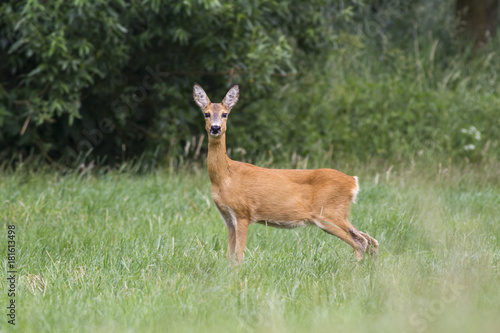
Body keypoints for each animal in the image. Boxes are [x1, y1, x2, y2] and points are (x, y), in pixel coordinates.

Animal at [193, 83, 376, 264]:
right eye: (206, 114)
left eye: (225, 114)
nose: (215, 128)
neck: (226, 176)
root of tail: (353, 181)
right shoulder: (228, 217)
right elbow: (229, 256)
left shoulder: (243, 212)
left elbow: (238, 256)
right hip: (339, 214)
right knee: (370, 240)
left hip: (328, 213)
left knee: (360, 242)